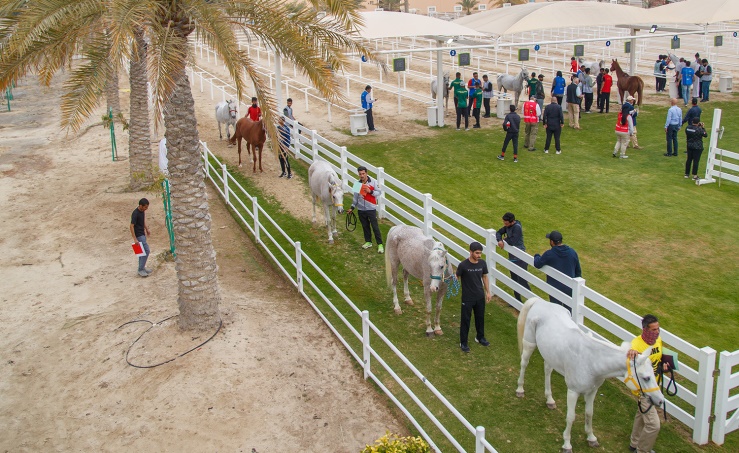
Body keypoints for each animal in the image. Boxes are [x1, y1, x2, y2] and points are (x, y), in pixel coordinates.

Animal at [516, 296, 664, 452]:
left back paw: (550, 400)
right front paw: (567, 444)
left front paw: (591, 438)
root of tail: (540, 301)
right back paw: (520, 389)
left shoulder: (592, 391)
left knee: (547, 370)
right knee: (524, 363)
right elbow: (571, 417)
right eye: (646, 378)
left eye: (654, 375)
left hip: (550, 354)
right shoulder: (573, 392)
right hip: (530, 344)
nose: (660, 400)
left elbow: (589, 413)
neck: (592, 361)